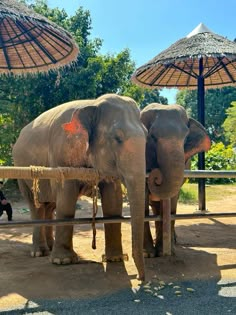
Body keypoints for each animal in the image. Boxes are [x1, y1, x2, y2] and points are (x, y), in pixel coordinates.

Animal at [12, 94, 148, 282]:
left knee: (49, 206)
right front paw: (63, 261)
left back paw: (50, 247)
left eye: (147, 136)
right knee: (36, 206)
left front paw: (115, 259)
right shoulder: (62, 154)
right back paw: (40, 252)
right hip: (21, 172)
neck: (93, 103)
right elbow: (66, 198)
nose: (140, 279)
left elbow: (113, 201)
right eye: (117, 138)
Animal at [141, 105, 211, 258]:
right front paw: (148, 254)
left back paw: (171, 242)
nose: (156, 175)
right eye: (152, 137)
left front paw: (164, 252)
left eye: (185, 137)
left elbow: (172, 202)